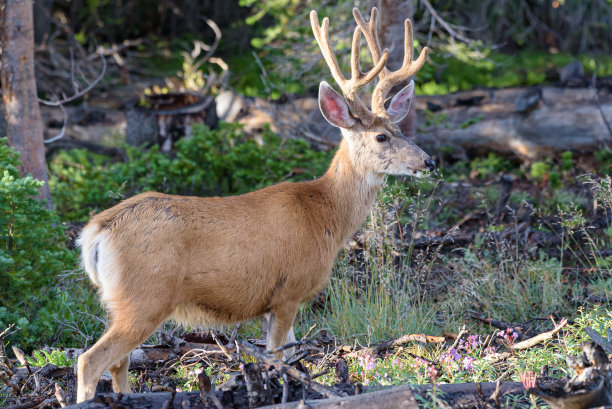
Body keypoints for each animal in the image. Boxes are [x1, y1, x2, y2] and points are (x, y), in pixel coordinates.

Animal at [74, 6, 432, 402]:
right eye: (382, 136)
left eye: (400, 130)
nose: (428, 161)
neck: (326, 215)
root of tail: (96, 232)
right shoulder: (288, 291)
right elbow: (277, 357)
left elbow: (290, 355)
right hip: (146, 296)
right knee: (89, 360)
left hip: (118, 301)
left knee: (118, 362)